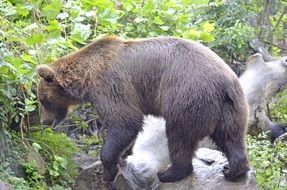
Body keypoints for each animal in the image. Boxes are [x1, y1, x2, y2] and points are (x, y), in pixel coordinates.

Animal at [37, 35, 251, 183]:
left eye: (42, 100)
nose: (44, 121)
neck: (86, 77)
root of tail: (224, 83)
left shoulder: (110, 85)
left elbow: (125, 121)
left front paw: (108, 172)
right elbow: (129, 127)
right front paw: (124, 155)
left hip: (187, 97)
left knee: (179, 136)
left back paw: (169, 173)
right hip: (231, 107)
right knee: (231, 136)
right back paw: (232, 170)